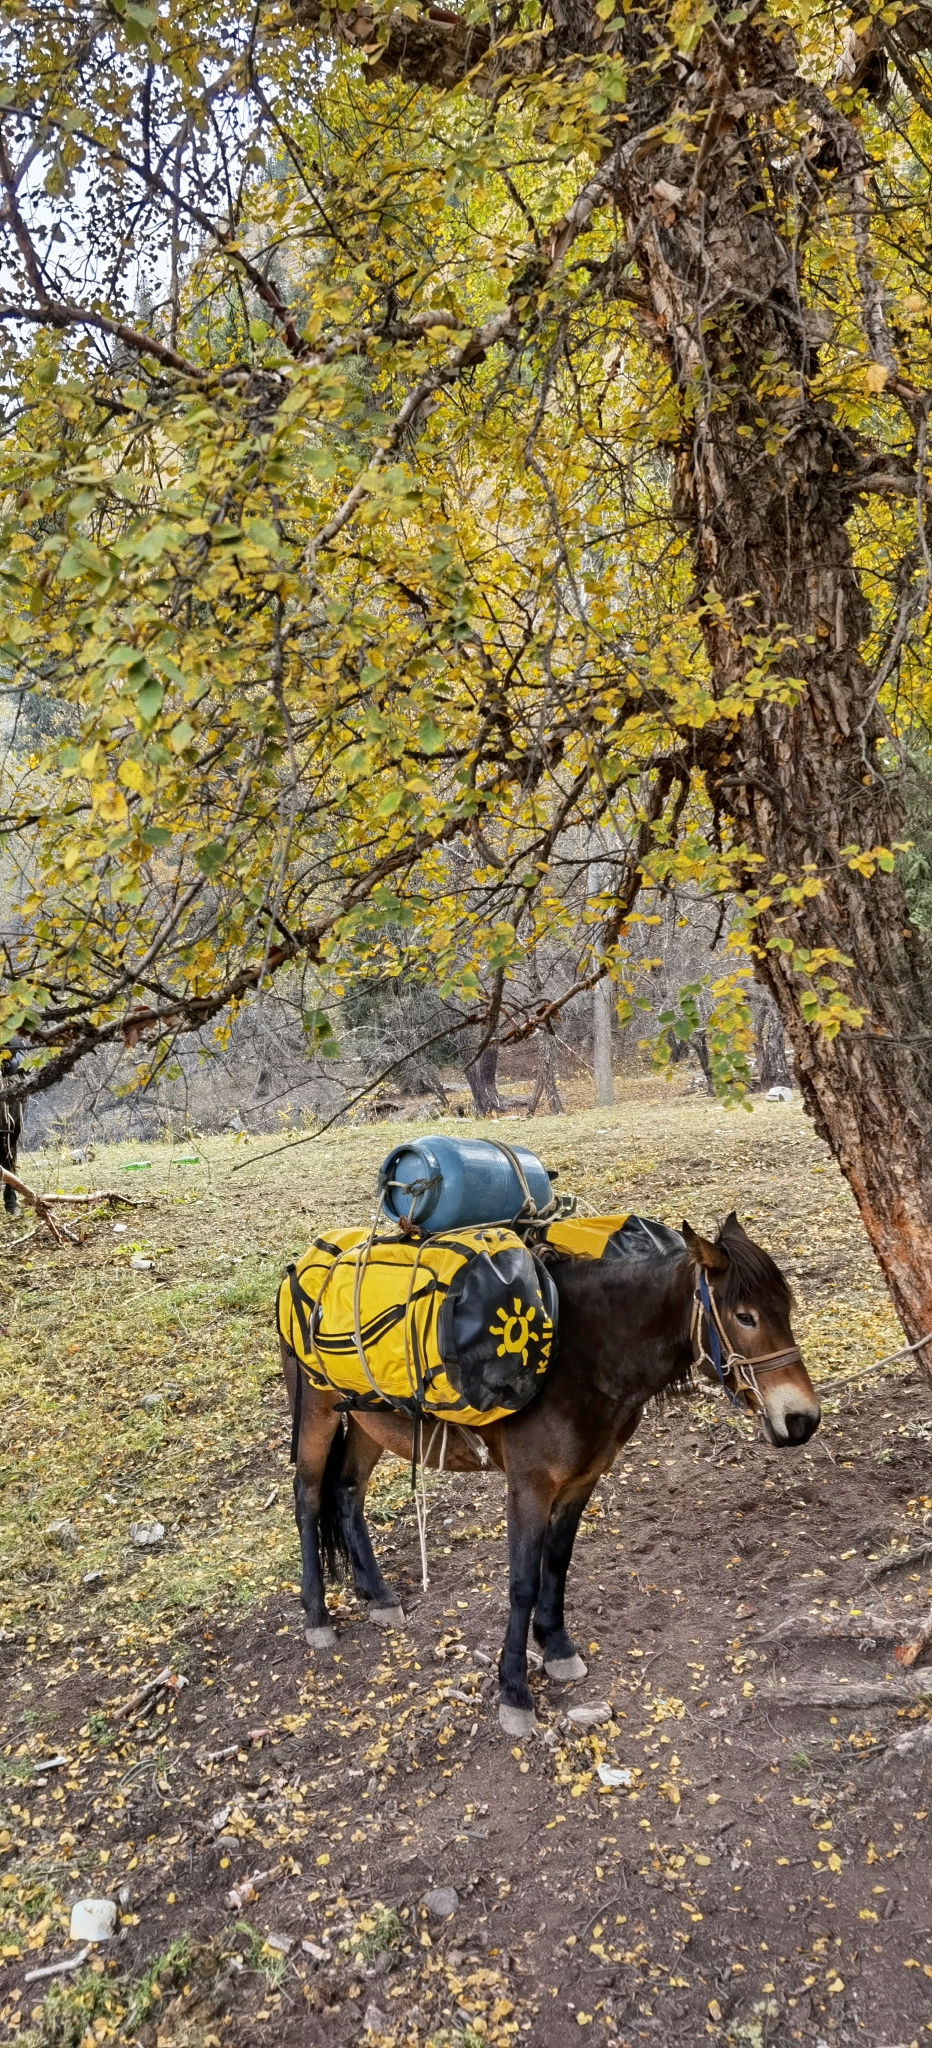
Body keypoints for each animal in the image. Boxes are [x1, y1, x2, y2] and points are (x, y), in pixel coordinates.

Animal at [279, 1211, 821, 1734]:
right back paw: (317, 1616)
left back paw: (377, 1595)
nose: (803, 1420)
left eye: (787, 1309)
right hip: (316, 1411)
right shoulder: (530, 1486)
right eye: (745, 1316)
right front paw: (514, 1690)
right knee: (308, 1498)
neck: (582, 1359)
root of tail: (302, 1265)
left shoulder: (581, 1482)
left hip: (368, 1421)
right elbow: (523, 1582)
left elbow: (556, 1564)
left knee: (347, 1491)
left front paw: (557, 1648)